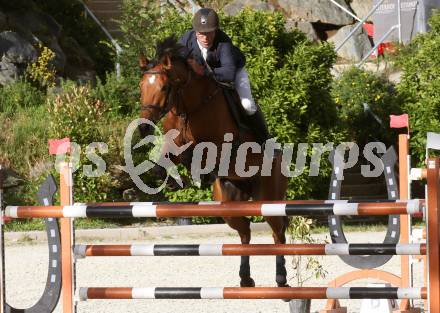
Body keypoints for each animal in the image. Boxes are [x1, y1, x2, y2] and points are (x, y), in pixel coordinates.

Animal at [138, 36, 288, 288]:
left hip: (270, 199)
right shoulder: (173, 142)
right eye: (141, 87)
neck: (189, 108)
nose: (143, 127)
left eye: (164, 87)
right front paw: (169, 179)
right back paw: (245, 278)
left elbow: (194, 152)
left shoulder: (220, 147)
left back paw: (281, 277)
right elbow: (165, 159)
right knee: (245, 231)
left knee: (278, 233)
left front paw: (196, 171)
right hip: (229, 203)